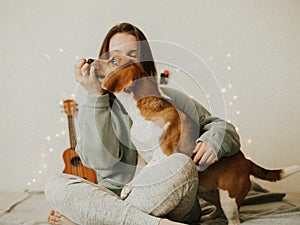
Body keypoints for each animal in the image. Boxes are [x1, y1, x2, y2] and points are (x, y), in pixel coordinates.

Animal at [89, 55, 300, 225]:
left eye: (112, 60)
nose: (89, 59)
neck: (142, 109)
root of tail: (246, 161)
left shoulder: (164, 155)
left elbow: (144, 176)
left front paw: (127, 188)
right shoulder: (142, 158)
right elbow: (139, 173)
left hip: (228, 198)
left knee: (234, 218)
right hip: (210, 192)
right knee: (218, 211)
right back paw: (208, 217)